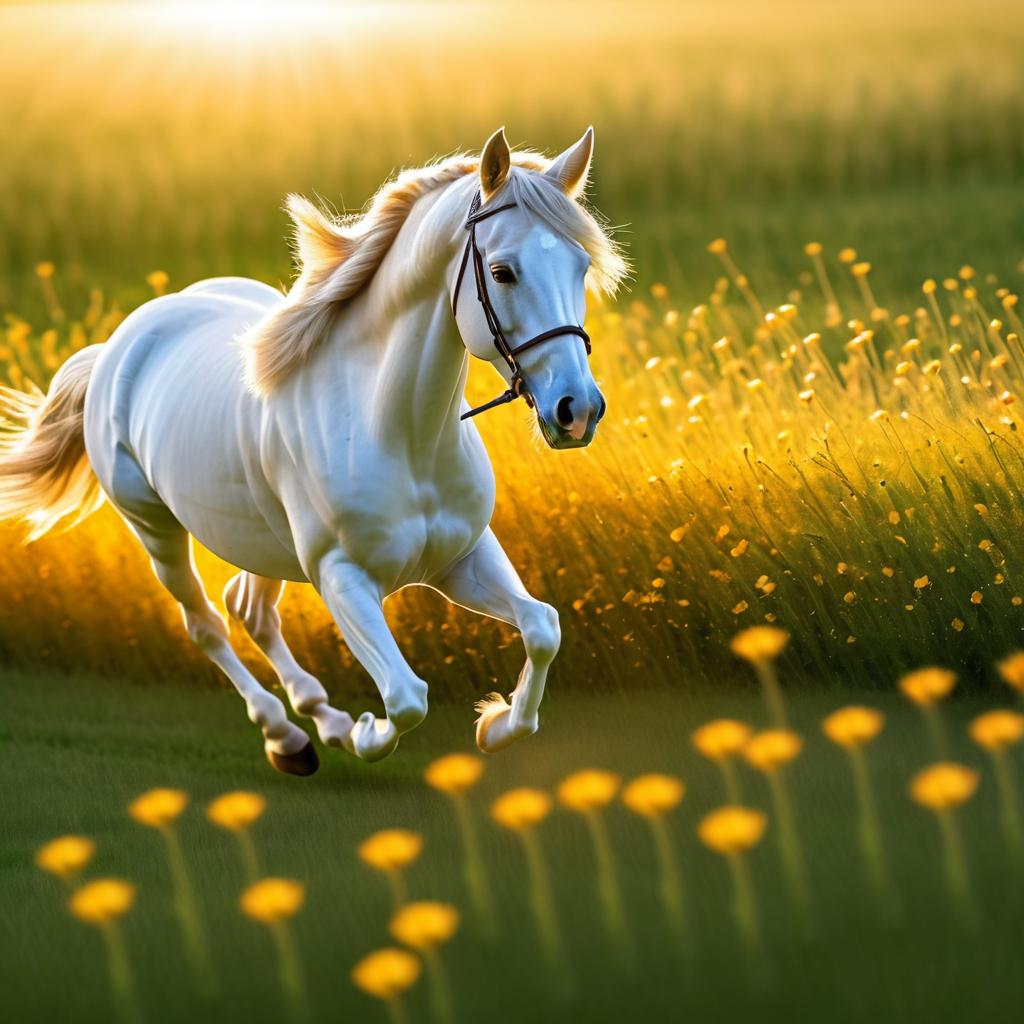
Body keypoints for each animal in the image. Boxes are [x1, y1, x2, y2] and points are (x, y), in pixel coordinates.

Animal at [0, 128, 622, 770]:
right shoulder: (341, 578)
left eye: (580, 266)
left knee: (248, 609)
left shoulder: (463, 557)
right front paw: (366, 731)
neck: (400, 434)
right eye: (502, 272)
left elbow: (543, 627)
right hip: (157, 530)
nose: (577, 410)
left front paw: (494, 725)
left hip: (261, 540)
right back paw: (288, 736)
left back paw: (317, 720)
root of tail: (117, 345)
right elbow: (406, 699)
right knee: (205, 624)